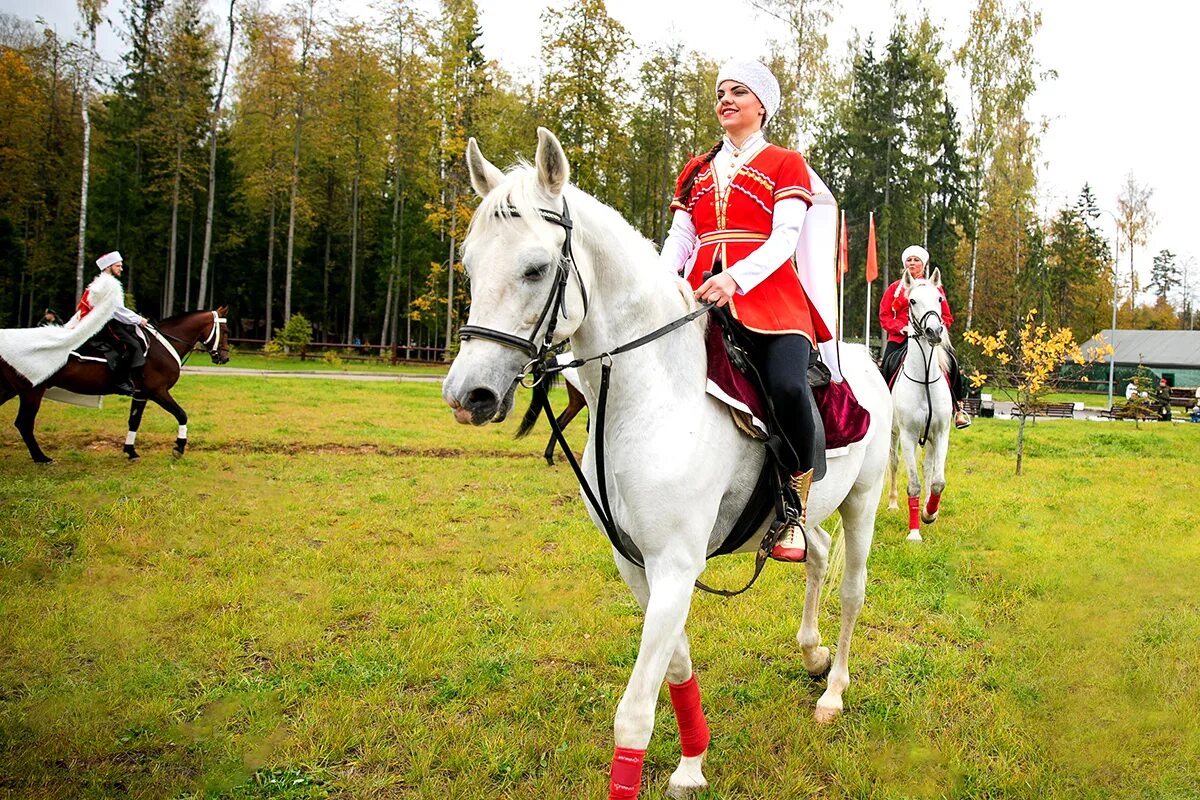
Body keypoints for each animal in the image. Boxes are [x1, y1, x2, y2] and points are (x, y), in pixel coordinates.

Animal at [0, 309, 231, 465]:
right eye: (226, 330)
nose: (225, 357)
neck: (163, 345)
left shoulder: (141, 394)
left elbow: (134, 421)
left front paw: (130, 451)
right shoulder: (158, 392)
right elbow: (182, 415)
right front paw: (179, 447)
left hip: (11, 389)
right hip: (31, 392)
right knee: (24, 424)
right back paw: (41, 458)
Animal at [446, 128, 897, 796]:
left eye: (535, 268)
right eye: (470, 265)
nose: (467, 394)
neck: (650, 392)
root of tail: (863, 355)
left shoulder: (676, 565)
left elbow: (634, 711)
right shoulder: (637, 563)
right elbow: (677, 666)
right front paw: (692, 763)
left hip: (862, 503)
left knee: (851, 590)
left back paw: (833, 691)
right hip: (810, 508)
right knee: (814, 552)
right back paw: (812, 651)